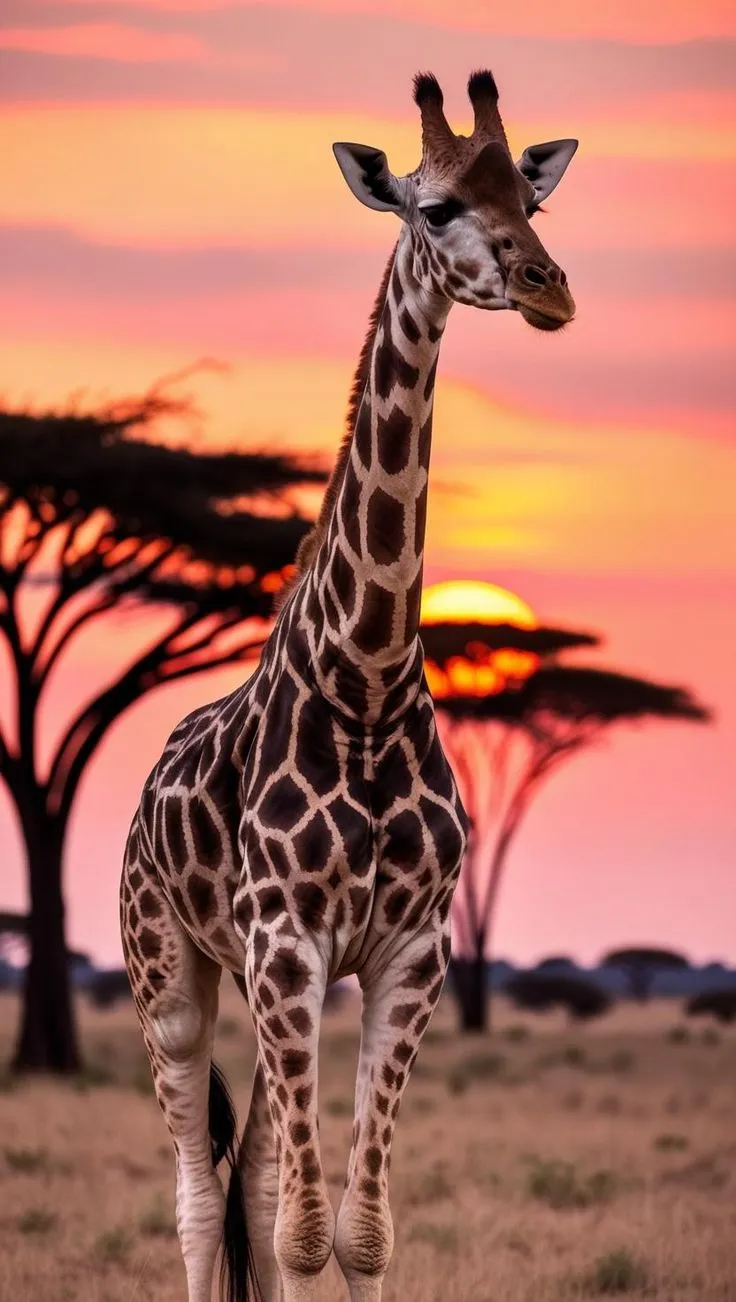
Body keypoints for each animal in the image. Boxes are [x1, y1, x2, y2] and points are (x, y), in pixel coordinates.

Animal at [120, 69, 577, 1302]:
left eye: (529, 198)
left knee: (258, 1178)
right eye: (435, 207)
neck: (365, 682)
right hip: (169, 973)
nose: (549, 286)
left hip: (269, 980)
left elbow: (357, 1231)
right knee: (196, 1200)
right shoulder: (284, 945)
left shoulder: (407, 955)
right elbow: (301, 1235)